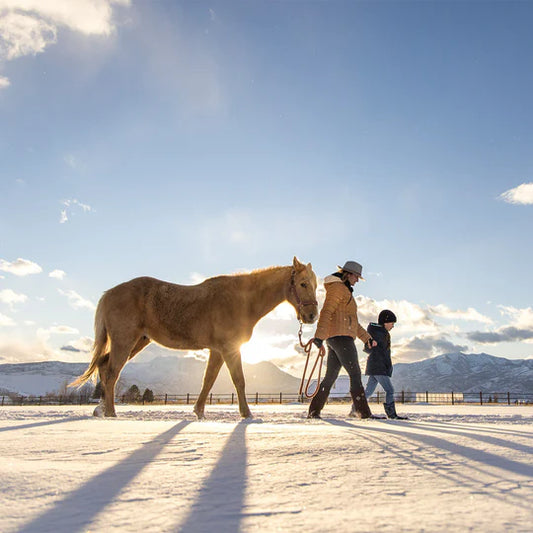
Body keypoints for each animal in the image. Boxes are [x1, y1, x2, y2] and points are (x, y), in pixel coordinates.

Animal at [67, 256, 316, 418]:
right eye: (303, 284)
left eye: (315, 285)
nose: (312, 315)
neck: (241, 300)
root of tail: (109, 294)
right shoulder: (229, 349)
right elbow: (239, 381)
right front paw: (247, 415)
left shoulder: (217, 350)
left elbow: (208, 381)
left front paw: (199, 412)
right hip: (125, 341)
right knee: (111, 373)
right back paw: (110, 413)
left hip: (137, 341)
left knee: (103, 365)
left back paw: (100, 410)